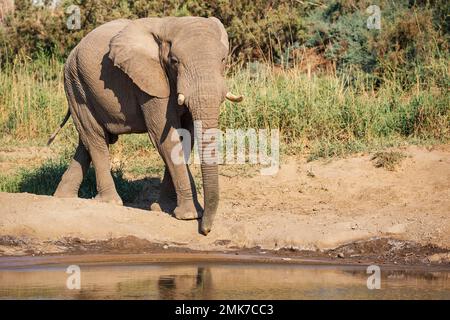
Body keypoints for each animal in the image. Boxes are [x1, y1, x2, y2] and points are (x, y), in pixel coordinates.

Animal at [48, 16, 243, 235]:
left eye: (223, 60)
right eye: (174, 62)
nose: (205, 230)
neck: (169, 25)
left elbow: (187, 137)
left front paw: (164, 208)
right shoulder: (149, 83)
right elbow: (165, 137)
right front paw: (190, 215)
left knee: (88, 140)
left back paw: (63, 197)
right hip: (76, 84)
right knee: (96, 139)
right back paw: (110, 202)